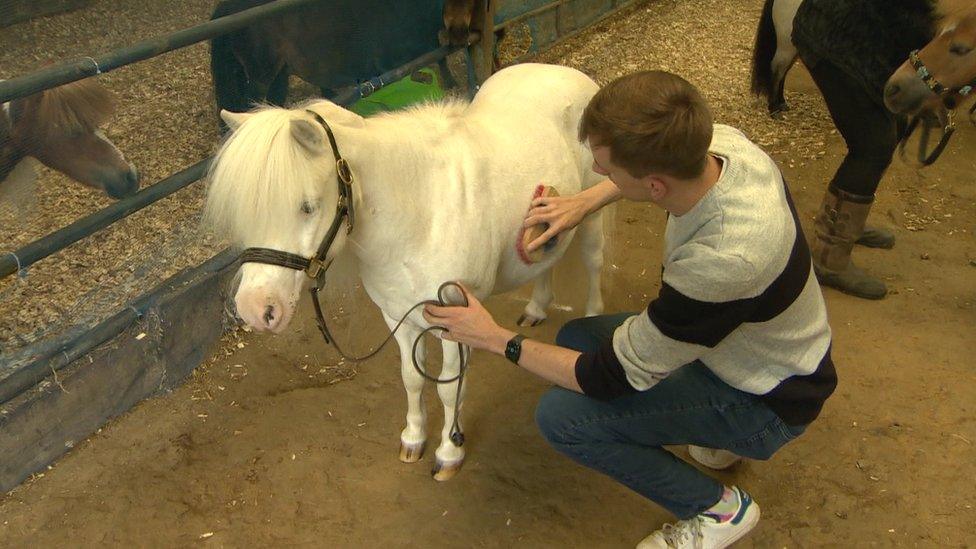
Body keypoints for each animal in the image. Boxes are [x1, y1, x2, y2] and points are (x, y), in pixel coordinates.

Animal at [203, 62, 608, 478]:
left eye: (307, 206)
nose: (257, 309)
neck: (421, 215)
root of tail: (559, 71)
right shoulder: (398, 315)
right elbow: (411, 378)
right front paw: (413, 438)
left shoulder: (457, 323)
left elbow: (449, 387)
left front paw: (449, 451)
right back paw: (536, 308)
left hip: (591, 215)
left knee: (593, 262)